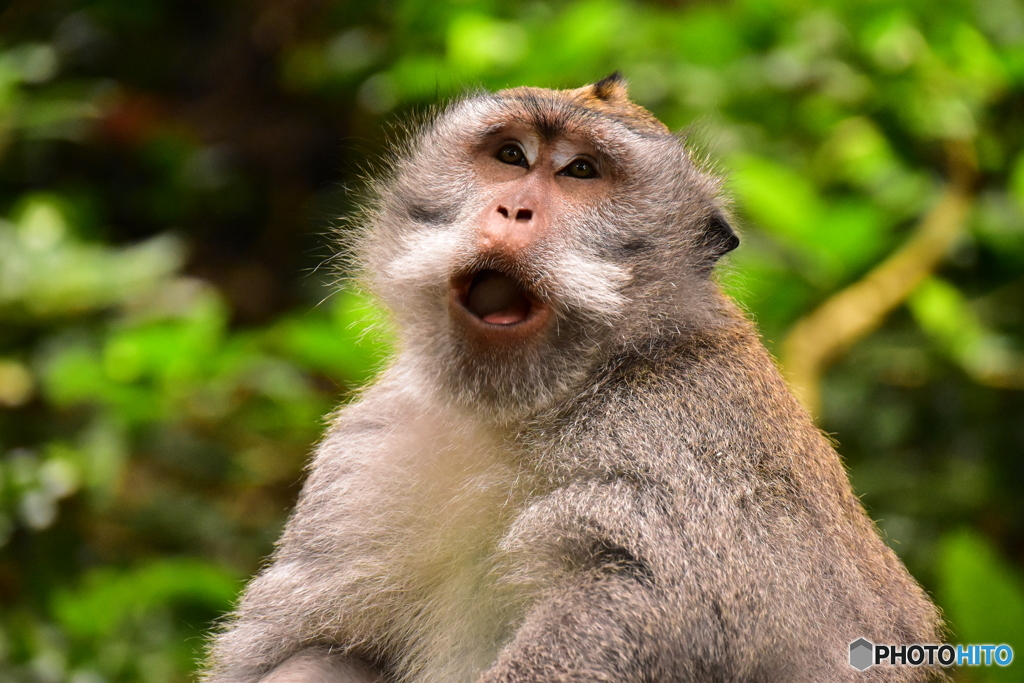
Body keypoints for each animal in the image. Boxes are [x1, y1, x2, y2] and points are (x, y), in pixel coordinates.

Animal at [205, 72, 942, 679]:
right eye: (511, 157)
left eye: (581, 171)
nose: (513, 210)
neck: (532, 402)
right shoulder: (368, 442)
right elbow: (298, 642)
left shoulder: (682, 431)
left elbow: (653, 594)